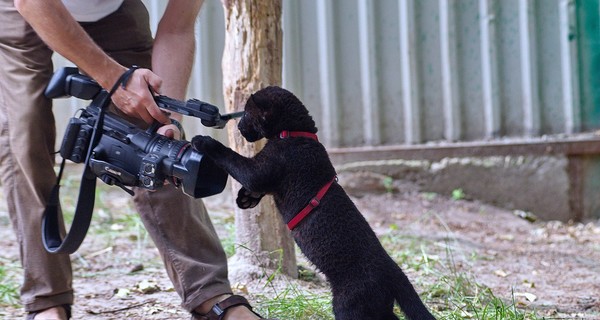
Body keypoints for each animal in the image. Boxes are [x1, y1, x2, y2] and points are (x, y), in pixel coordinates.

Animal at [195, 86, 434, 318]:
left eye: (246, 114)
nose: (239, 128)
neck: (296, 133)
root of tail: (394, 271)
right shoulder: (266, 176)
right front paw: (246, 199)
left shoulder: (260, 169)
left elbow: (234, 160)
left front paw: (205, 142)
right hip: (374, 306)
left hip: (349, 305)